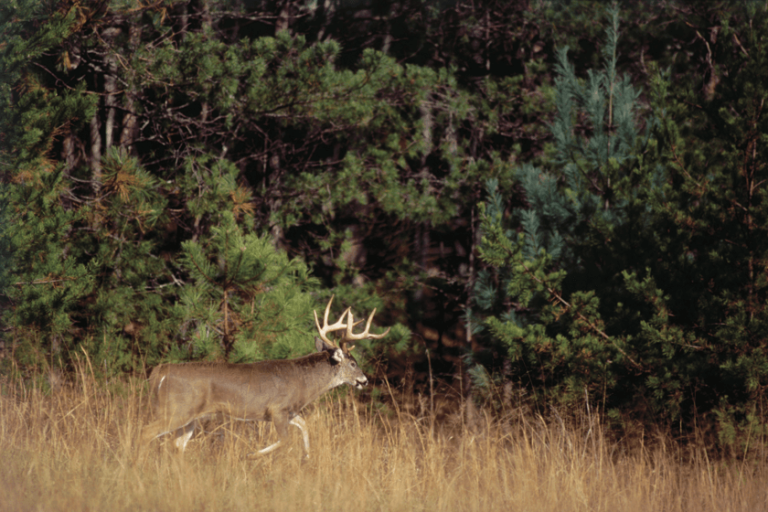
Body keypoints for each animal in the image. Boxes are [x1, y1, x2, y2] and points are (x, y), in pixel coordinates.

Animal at [140, 294, 388, 458]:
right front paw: (252, 455)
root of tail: (158, 373)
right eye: (354, 363)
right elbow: (286, 440)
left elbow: (305, 427)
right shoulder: (277, 408)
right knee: (146, 432)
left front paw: (307, 457)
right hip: (176, 409)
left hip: (188, 417)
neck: (304, 383)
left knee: (177, 445)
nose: (364, 381)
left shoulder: (288, 411)